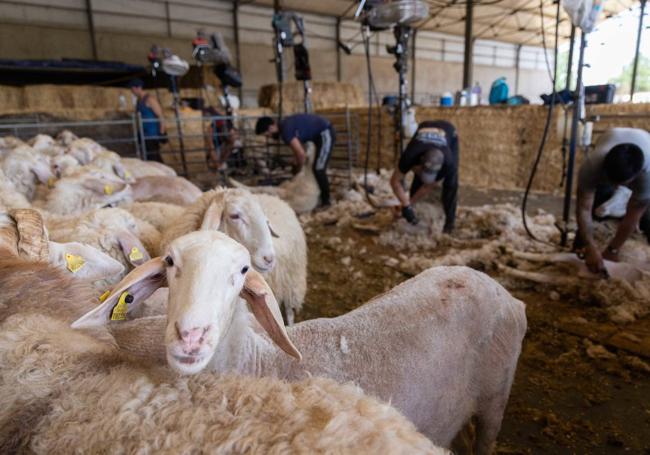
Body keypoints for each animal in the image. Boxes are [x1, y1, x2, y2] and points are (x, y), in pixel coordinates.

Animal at [74, 233, 528, 454]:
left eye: (242, 271)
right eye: (170, 263)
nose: (192, 335)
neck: (261, 363)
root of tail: (505, 294)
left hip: (496, 394)